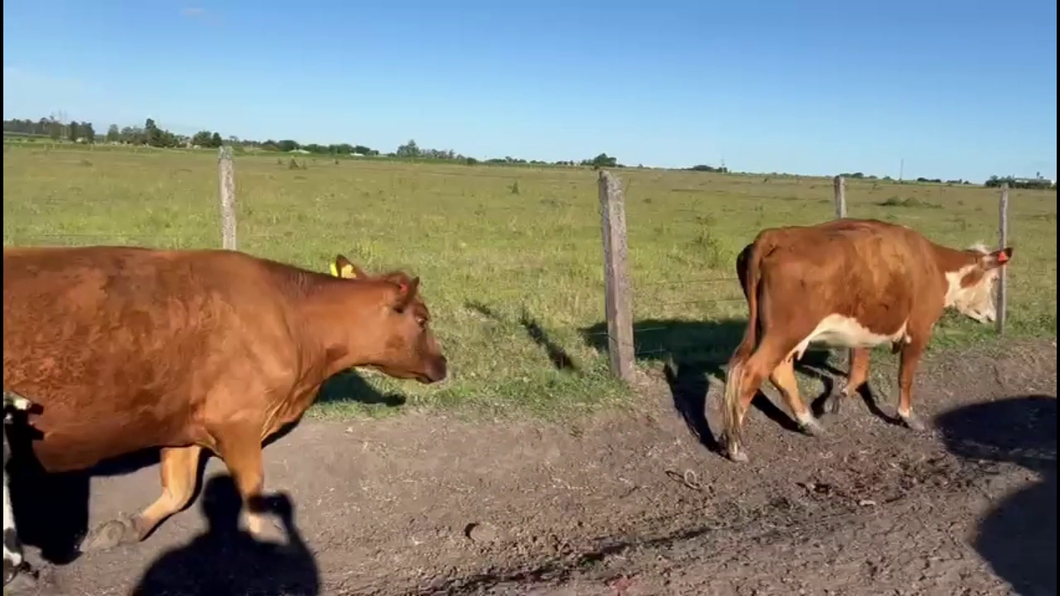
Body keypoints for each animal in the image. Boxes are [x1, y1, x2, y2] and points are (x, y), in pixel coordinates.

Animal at [1, 244, 447, 547]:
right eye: (422, 319)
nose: (443, 364)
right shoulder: (238, 422)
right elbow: (252, 488)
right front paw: (266, 536)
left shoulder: (184, 424)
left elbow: (178, 489)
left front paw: (126, 527)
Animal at [720, 217, 1009, 460]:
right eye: (994, 279)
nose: (993, 315)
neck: (934, 265)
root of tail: (774, 235)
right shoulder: (918, 330)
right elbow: (905, 377)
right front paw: (907, 415)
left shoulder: (863, 332)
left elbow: (859, 371)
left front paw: (837, 398)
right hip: (785, 332)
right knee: (751, 373)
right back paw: (736, 445)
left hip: (777, 333)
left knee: (778, 372)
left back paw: (807, 422)